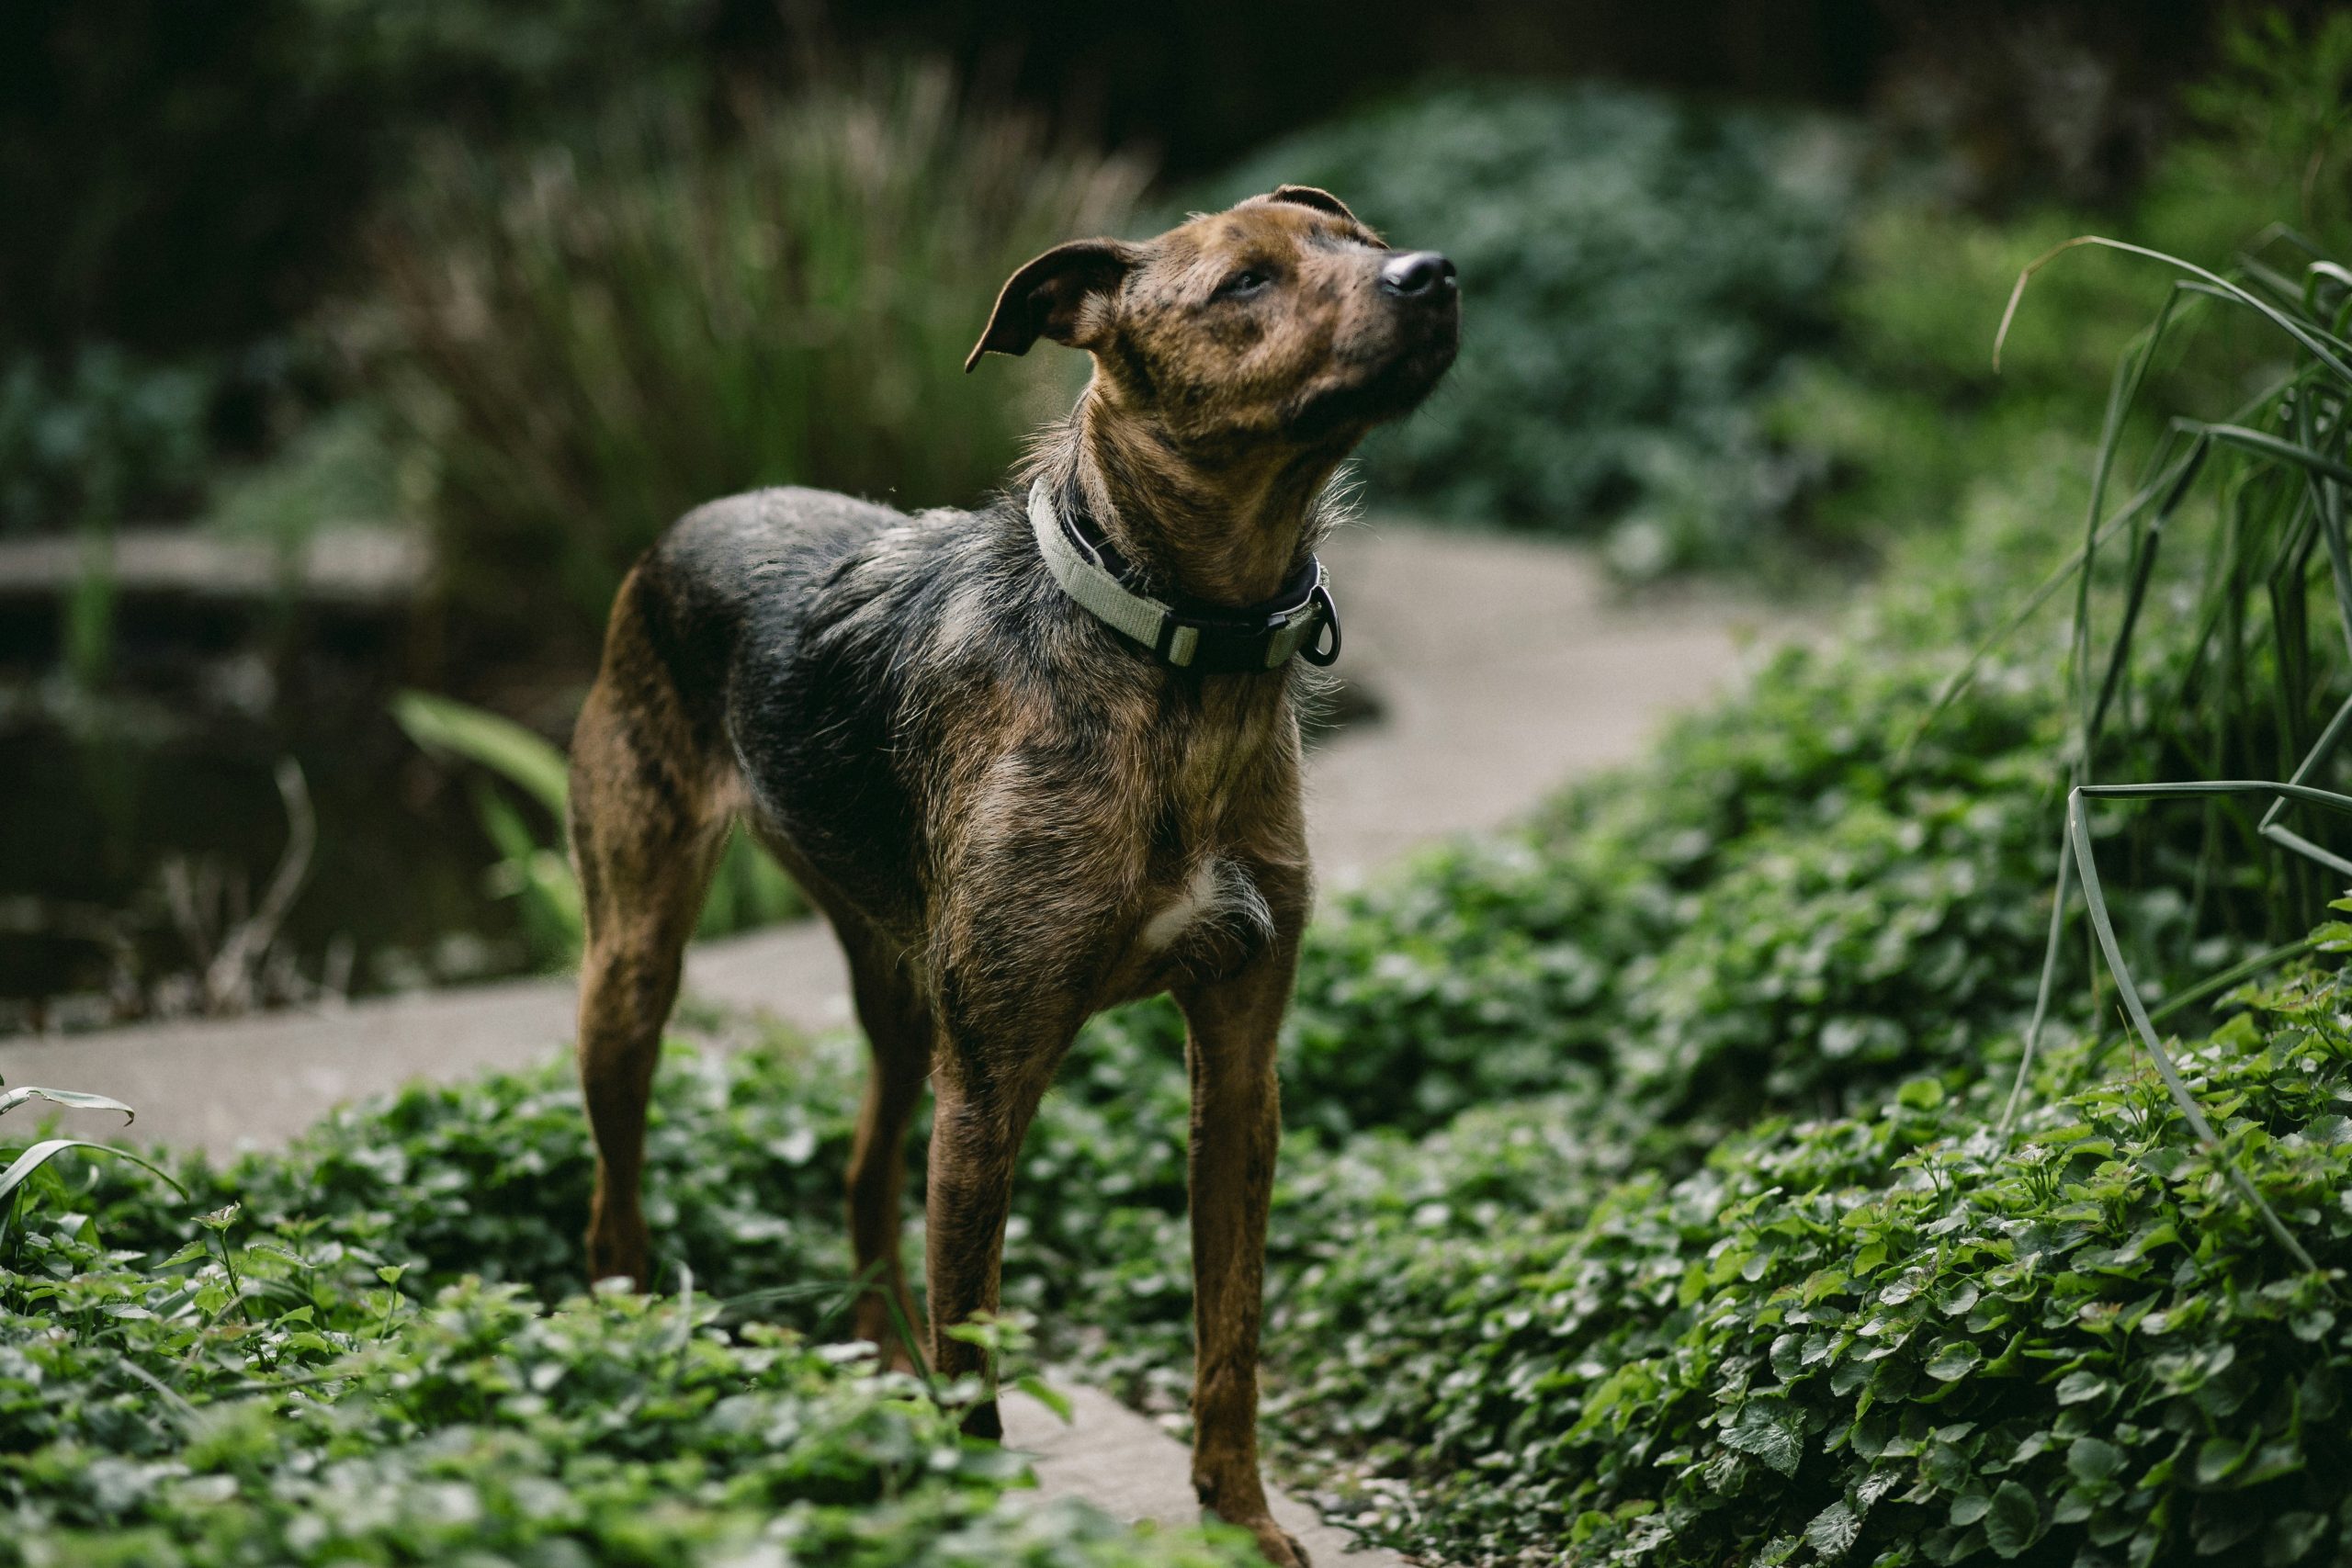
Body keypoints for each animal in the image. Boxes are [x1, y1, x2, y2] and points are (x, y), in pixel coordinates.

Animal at [566, 181, 1448, 1561]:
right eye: (1245, 284)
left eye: (1360, 244)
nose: (1434, 275)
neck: (1172, 651)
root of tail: (687, 522)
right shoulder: (992, 1083)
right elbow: (978, 1359)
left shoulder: (1239, 1069)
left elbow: (1229, 1334)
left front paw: (1240, 1518)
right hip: (636, 966)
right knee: (615, 1204)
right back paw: (641, 1360)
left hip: (899, 999)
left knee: (863, 1178)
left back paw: (876, 1372)